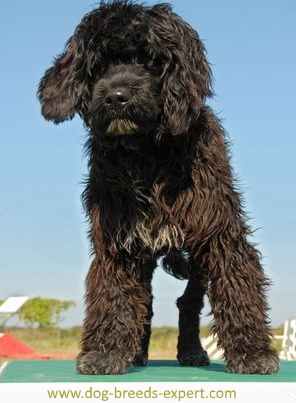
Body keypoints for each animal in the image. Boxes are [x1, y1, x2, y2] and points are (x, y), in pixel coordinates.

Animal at [38, 0, 278, 376]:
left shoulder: (219, 231)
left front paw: (253, 352)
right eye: (99, 65)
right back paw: (137, 351)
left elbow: (236, 283)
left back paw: (191, 351)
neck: (146, 153)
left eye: (150, 61)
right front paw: (106, 352)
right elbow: (115, 294)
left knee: (188, 302)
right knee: (147, 303)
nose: (116, 97)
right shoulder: (119, 241)